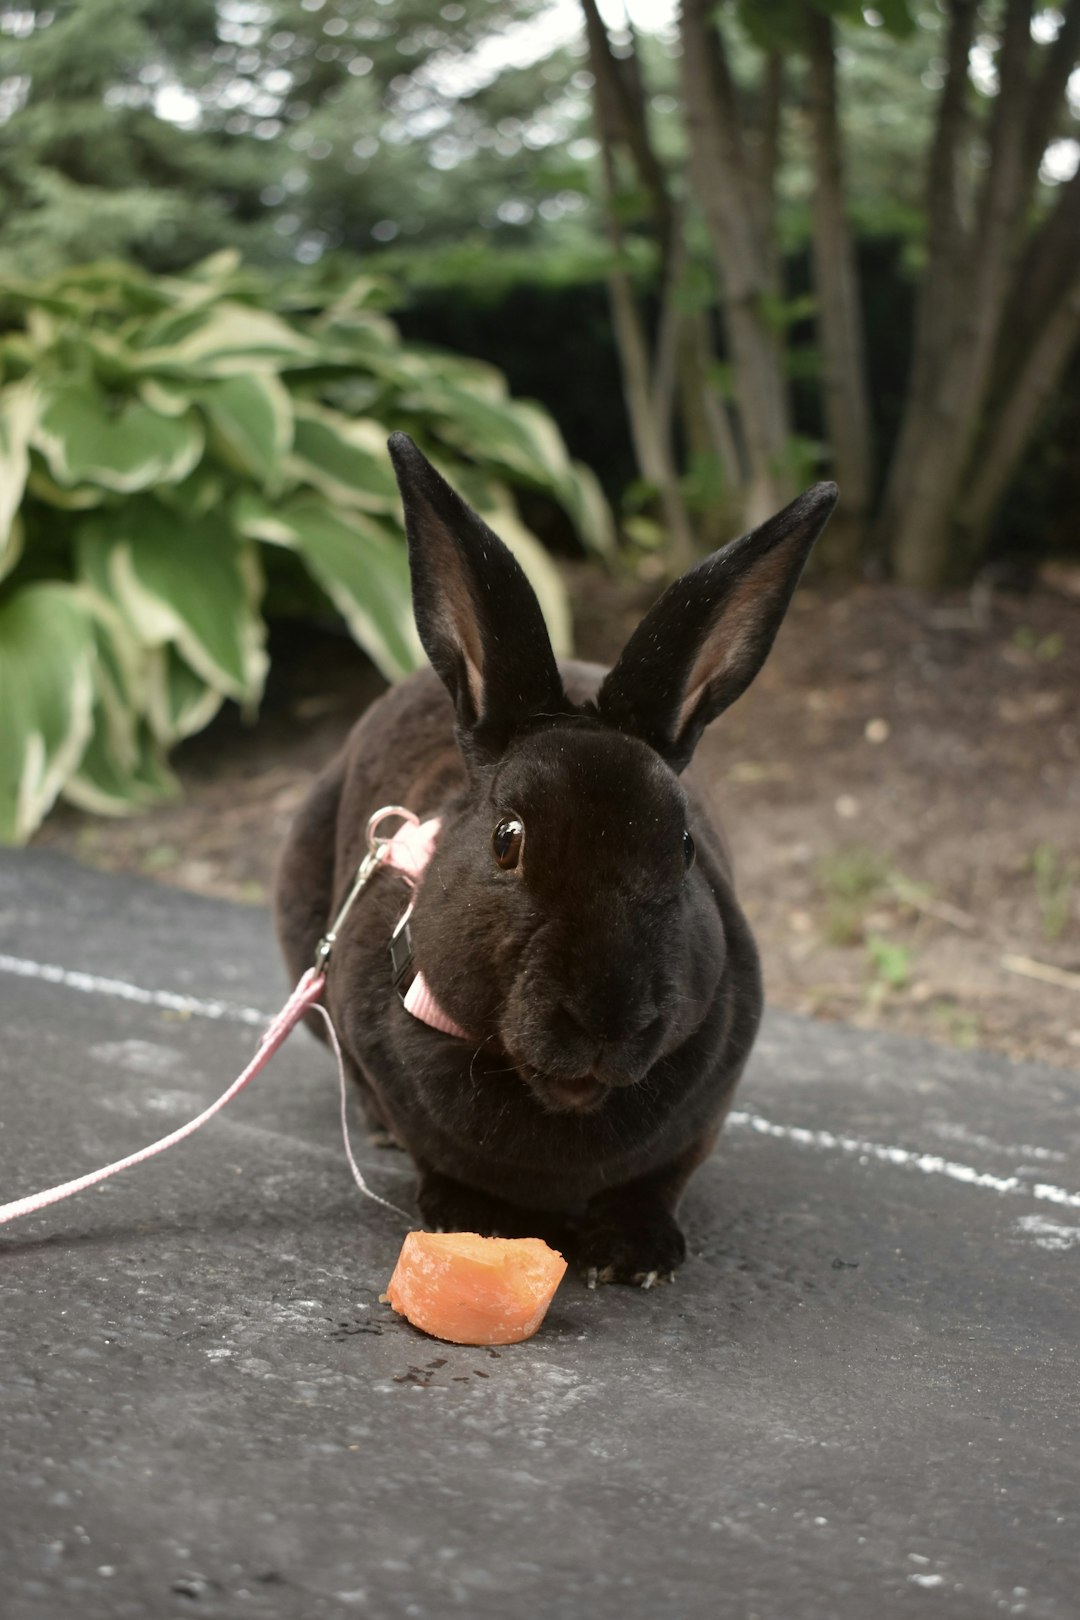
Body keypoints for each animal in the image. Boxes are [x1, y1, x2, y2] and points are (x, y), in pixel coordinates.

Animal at [276, 437, 835, 1283]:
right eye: (507, 839)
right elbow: (433, 1153)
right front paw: (476, 1222)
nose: (607, 1018)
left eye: (683, 847)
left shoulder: (703, 1111)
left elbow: (660, 1178)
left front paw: (636, 1255)